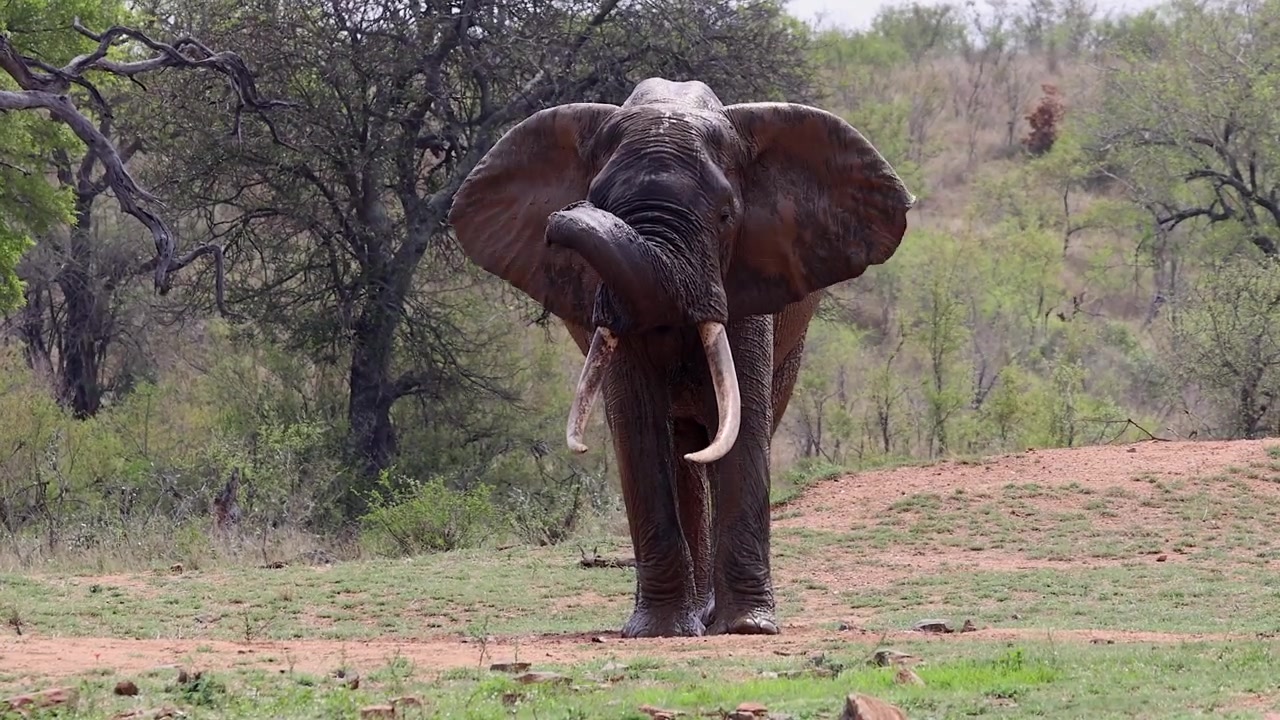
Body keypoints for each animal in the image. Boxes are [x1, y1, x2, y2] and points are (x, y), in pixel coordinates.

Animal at [448, 77, 915, 638]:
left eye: (725, 216)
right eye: (598, 201)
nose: (563, 218)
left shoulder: (748, 276)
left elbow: (743, 423)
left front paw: (747, 627)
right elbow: (637, 426)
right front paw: (657, 631)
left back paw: (712, 616)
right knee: (682, 449)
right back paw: (692, 616)